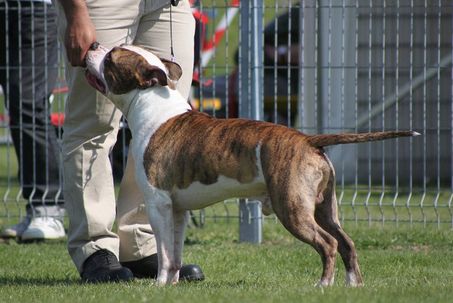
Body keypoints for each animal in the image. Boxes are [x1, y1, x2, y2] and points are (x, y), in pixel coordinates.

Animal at [84, 42, 416, 288]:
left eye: (112, 57)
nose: (94, 44)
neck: (151, 106)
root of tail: (307, 140)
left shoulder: (159, 204)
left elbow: (165, 253)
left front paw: (159, 285)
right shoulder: (178, 210)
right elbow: (175, 252)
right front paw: (173, 285)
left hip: (292, 208)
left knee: (328, 244)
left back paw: (323, 285)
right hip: (324, 208)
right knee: (346, 242)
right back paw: (353, 286)